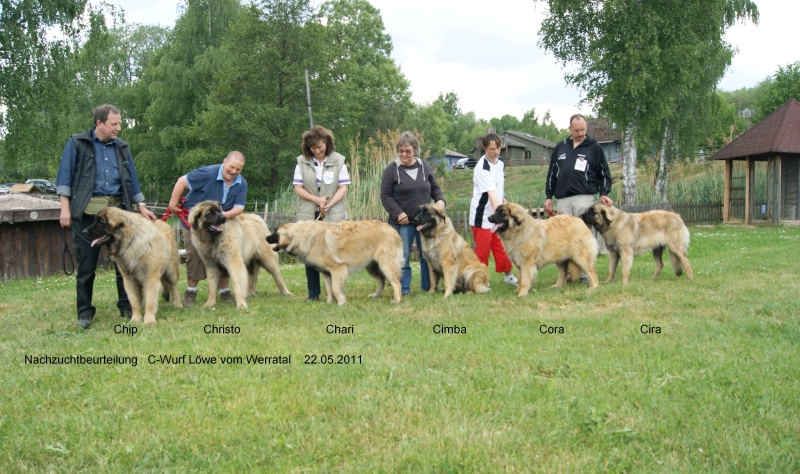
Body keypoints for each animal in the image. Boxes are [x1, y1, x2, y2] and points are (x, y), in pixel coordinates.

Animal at [268, 220, 406, 306]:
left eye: (275, 233)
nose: (266, 238)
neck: (302, 234)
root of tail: (392, 229)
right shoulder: (326, 273)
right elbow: (329, 289)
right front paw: (329, 303)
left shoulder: (337, 269)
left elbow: (335, 288)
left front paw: (341, 303)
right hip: (372, 266)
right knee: (381, 280)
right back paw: (376, 295)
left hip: (386, 264)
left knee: (396, 282)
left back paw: (397, 300)